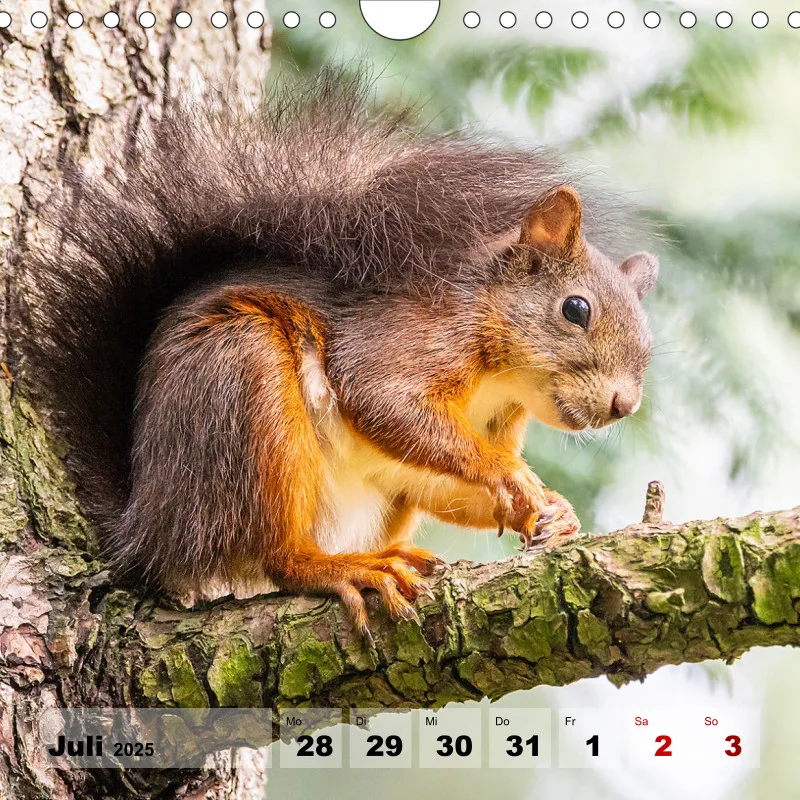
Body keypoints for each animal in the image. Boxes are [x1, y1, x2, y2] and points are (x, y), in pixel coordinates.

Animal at [19, 71, 658, 639]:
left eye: (649, 344)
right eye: (576, 309)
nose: (624, 405)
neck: (500, 379)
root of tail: (148, 528)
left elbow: (441, 483)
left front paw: (552, 511)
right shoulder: (411, 335)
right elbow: (383, 400)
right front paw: (513, 475)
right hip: (241, 384)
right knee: (276, 556)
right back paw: (341, 567)